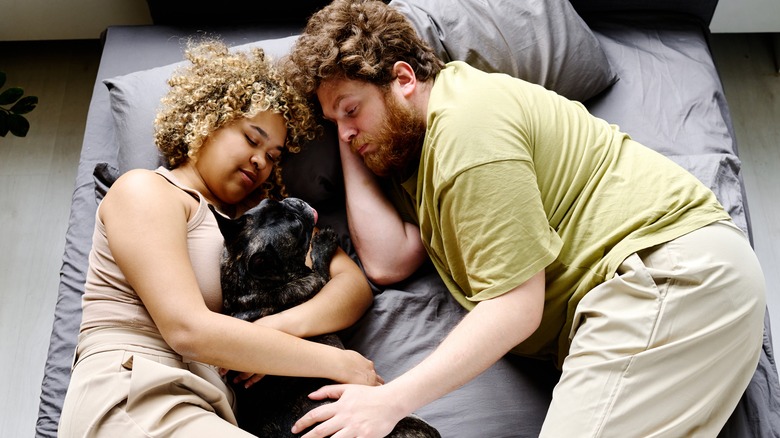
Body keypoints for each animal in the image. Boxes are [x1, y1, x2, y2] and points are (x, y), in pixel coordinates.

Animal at [210, 199, 438, 438]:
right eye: (296, 225)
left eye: (267, 201)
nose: (291, 200)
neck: (248, 287)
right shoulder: (316, 281)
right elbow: (319, 267)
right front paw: (323, 242)